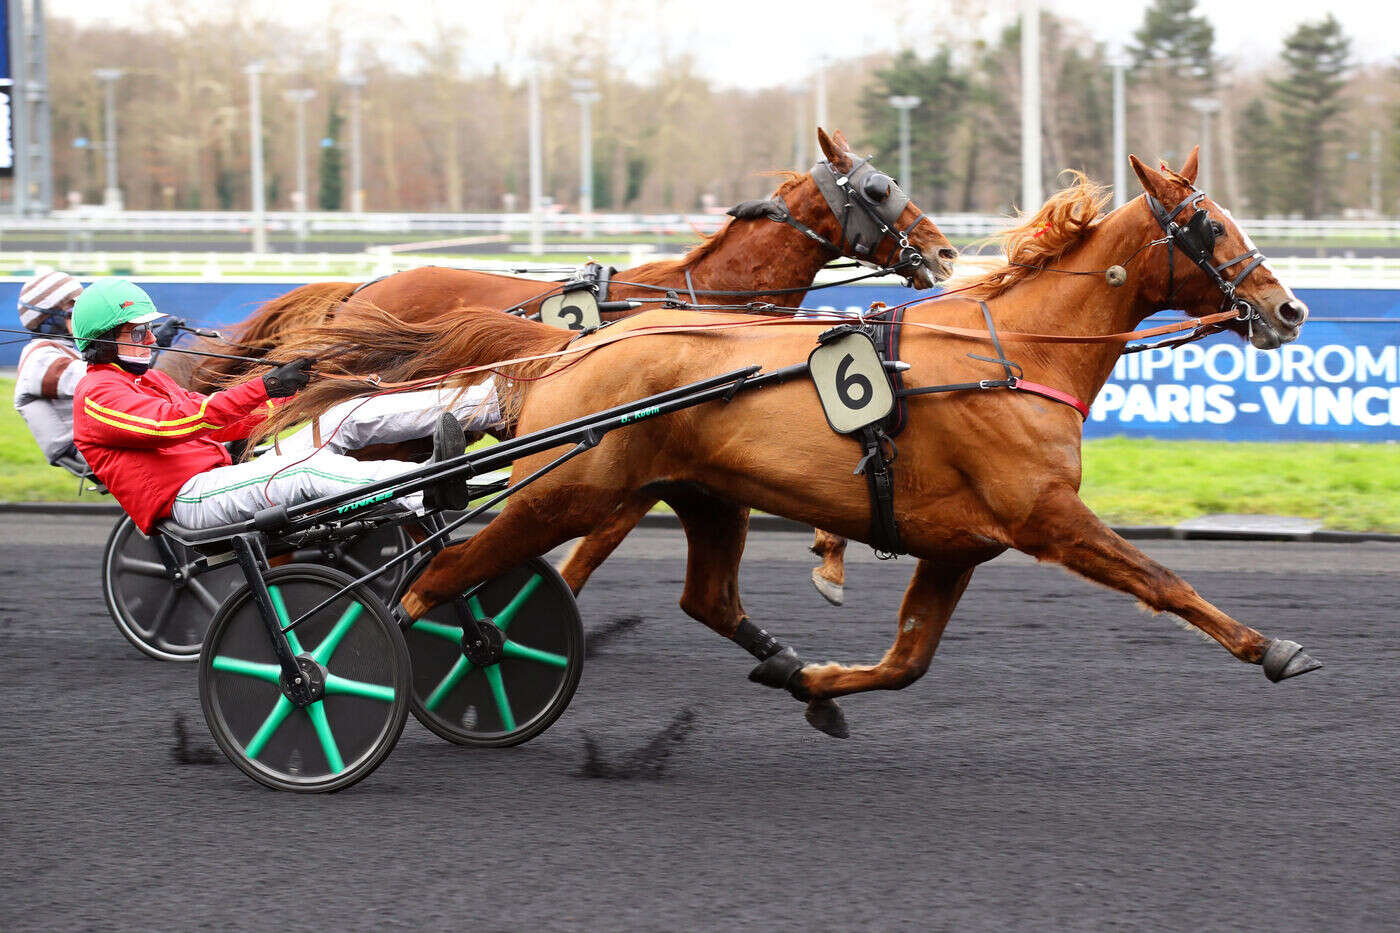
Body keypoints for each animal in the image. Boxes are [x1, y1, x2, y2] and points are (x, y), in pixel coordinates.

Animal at [249, 149, 1310, 739]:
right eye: (1207, 223)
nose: (1288, 308)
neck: (1011, 349)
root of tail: (567, 350)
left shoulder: (959, 542)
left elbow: (907, 659)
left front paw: (817, 684)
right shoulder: (1044, 515)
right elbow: (1161, 580)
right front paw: (1272, 647)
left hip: (703, 493)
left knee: (705, 597)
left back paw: (780, 662)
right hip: (569, 488)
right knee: (426, 580)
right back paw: (343, 677)